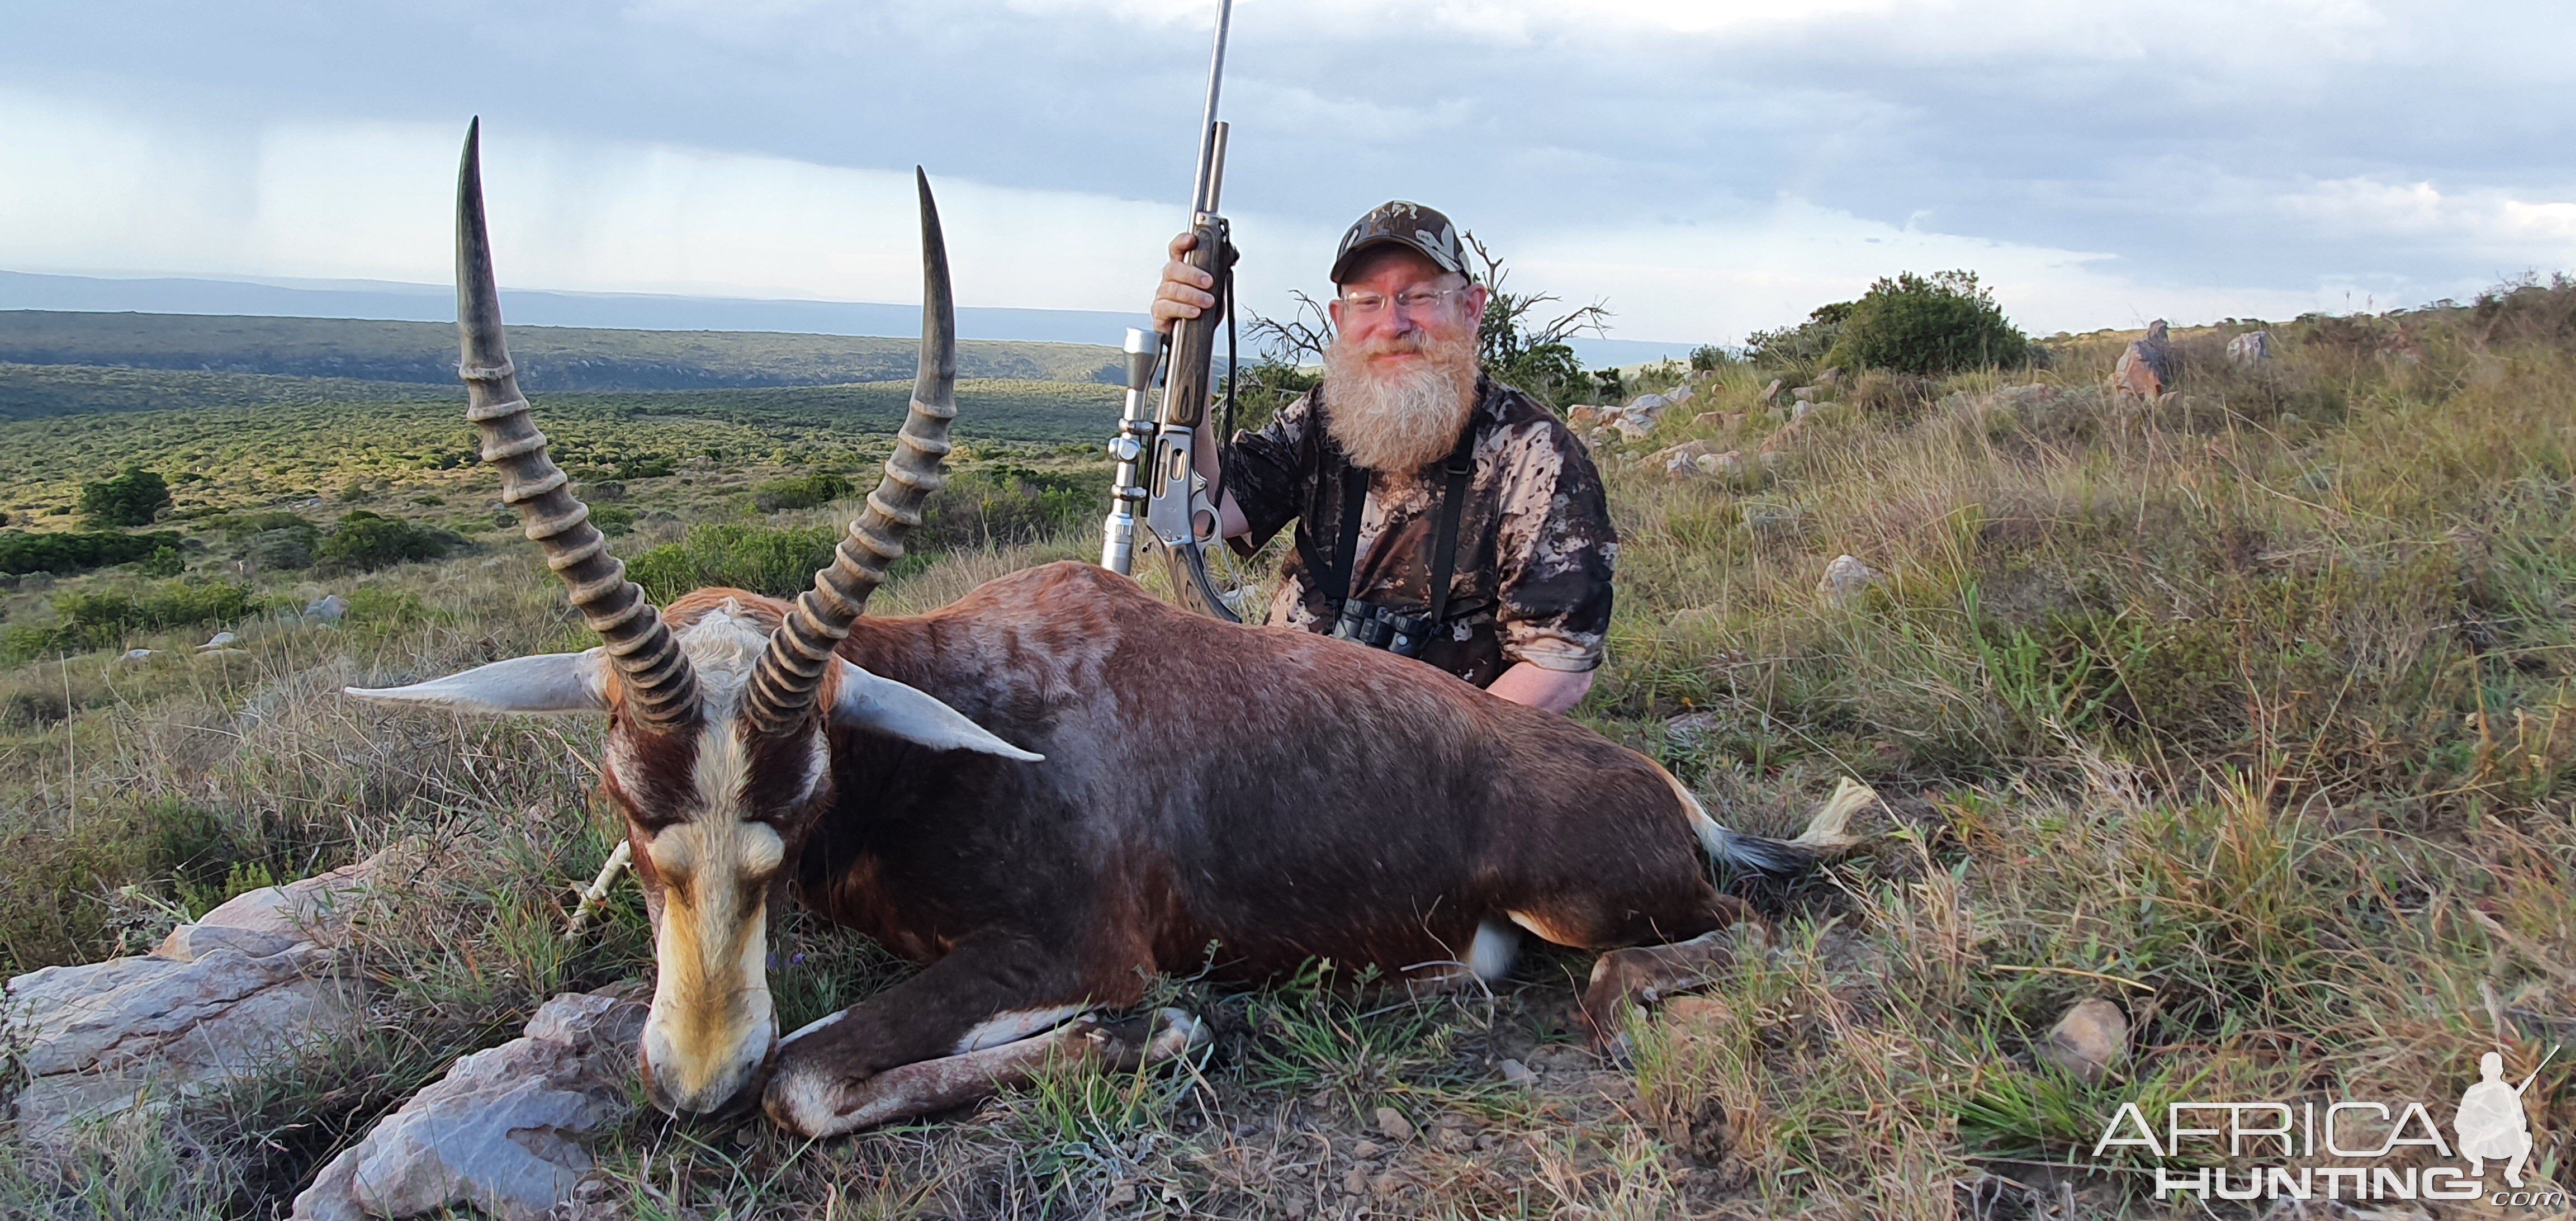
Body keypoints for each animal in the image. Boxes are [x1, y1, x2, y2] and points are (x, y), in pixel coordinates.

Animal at [353, 124, 1865, 1133]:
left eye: (803, 796)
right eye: (625, 799)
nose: (691, 1082)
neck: (968, 711)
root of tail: (1664, 789)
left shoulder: (1070, 950)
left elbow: (813, 1076)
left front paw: (1170, 1035)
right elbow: (810, 1060)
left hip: (1600, 906)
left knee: (1702, 948)